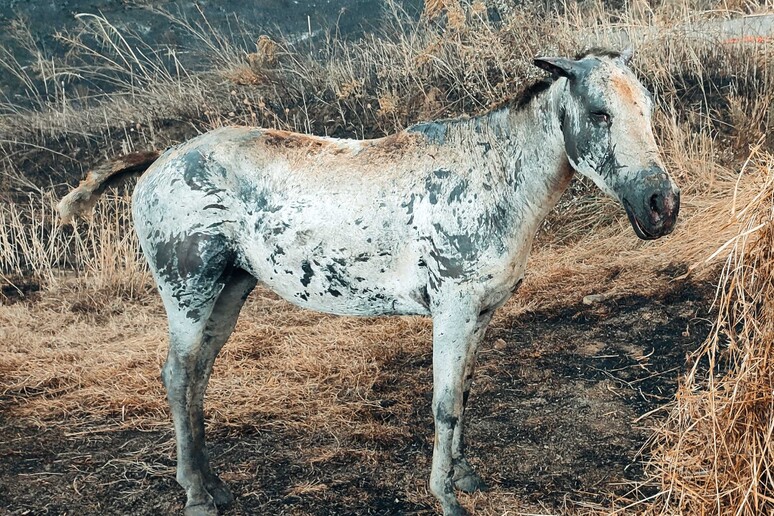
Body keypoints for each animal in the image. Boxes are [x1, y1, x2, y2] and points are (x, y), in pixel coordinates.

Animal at [59, 49, 680, 516]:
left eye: (646, 107)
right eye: (598, 113)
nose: (662, 205)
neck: (494, 178)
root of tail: (160, 160)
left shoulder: (479, 315)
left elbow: (464, 394)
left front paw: (465, 475)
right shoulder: (453, 313)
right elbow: (444, 404)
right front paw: (446, 497)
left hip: (228, 293)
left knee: (197, 382)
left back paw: (213, 485)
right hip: (189, 293)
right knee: (177, 377)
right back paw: (196, 496)